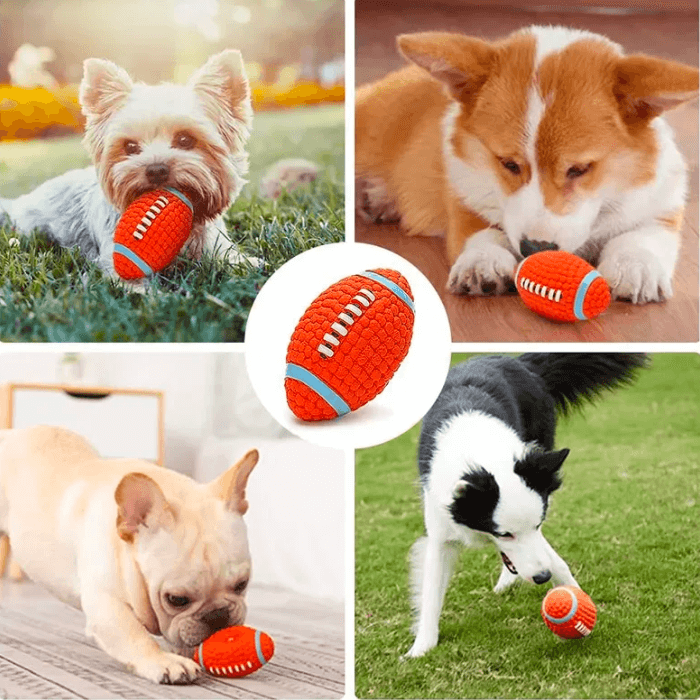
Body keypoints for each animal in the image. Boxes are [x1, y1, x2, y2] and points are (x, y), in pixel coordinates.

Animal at [0, 426, 258, 684]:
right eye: (176, 599)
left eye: (242, 584)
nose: (218, 616)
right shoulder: (106, 605)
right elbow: (135, 635)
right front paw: (165, 661)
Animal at [408, 352, 648, 660]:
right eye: (504, 533)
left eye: (538, 524)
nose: (541, 577)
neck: (482, 455)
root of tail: (517, 361)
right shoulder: (441, 530)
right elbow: (431, 591)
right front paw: (421, 647)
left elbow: (551, 557)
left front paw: (573, 592)